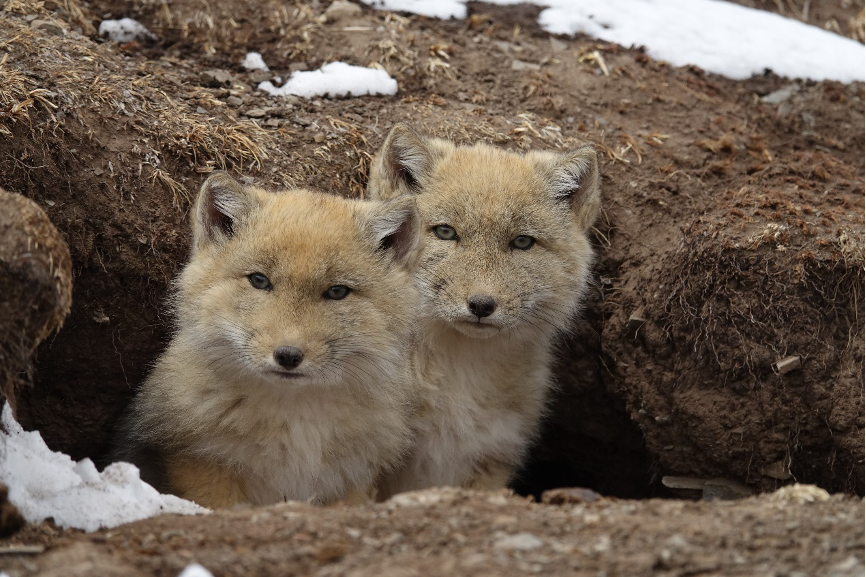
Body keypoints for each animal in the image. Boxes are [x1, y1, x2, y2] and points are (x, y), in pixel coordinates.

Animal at [112, 172, 421, 508]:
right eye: (259, 281)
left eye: (337, 292)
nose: (288, 356)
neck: (295, 424)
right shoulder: (202, 466)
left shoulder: (351, 482)